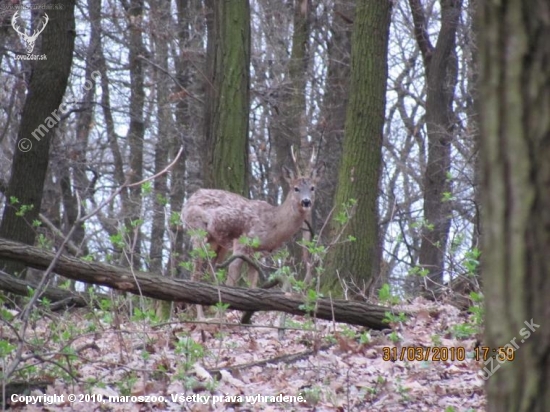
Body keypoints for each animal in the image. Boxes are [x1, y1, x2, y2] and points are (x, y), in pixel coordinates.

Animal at [183, 161, 326, 290]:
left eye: (313, 188)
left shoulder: (258, 253)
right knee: (196, 265)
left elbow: (252, 282)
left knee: (210, 268)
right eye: (296, 188)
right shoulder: (241, 242)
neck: (272, 225)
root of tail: (188, 201)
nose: (306, 201)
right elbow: (232, 277)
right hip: (197, 229)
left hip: (217, 242)